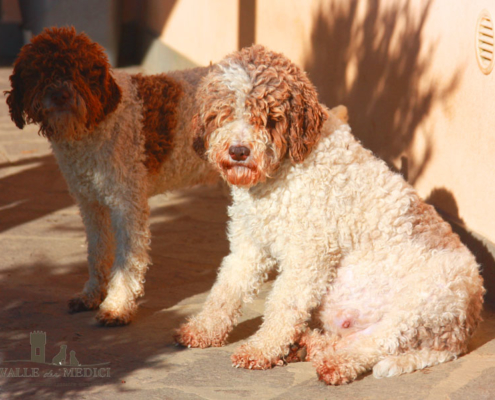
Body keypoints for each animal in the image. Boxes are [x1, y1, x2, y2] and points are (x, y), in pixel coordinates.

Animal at [3, 25, 217, 324]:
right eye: (39, 71)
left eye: (81, 70)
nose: (60, 95)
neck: (97, 122)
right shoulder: (90, 203)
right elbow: (97, 251)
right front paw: (92, 294)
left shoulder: (127, 205)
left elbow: (127, 261)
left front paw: (117, 306)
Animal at [176, 45, 486, 386]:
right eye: (225, 111)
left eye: (269, 118)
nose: (239, 151)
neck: (285, 169)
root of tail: (462, 331)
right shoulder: (250, 243)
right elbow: (226, 289)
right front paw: (204, 329)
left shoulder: (309, 254)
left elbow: (284, 304)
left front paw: (261, 349)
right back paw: (306, 345)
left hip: (420, 305)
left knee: (377, 342)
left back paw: (335, 364)